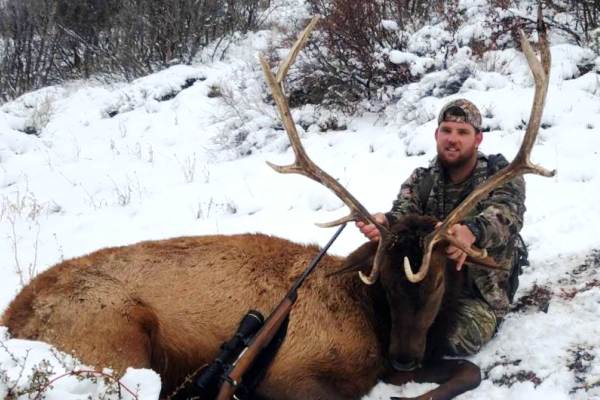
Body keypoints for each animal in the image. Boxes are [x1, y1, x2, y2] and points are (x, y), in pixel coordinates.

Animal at [1, 12, 552, 400]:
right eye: (387, 283)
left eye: (436, 279)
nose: (405, 359)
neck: (366, 314)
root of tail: (14, 318)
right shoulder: (290, 372)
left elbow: (467, 368)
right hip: (112, 338)